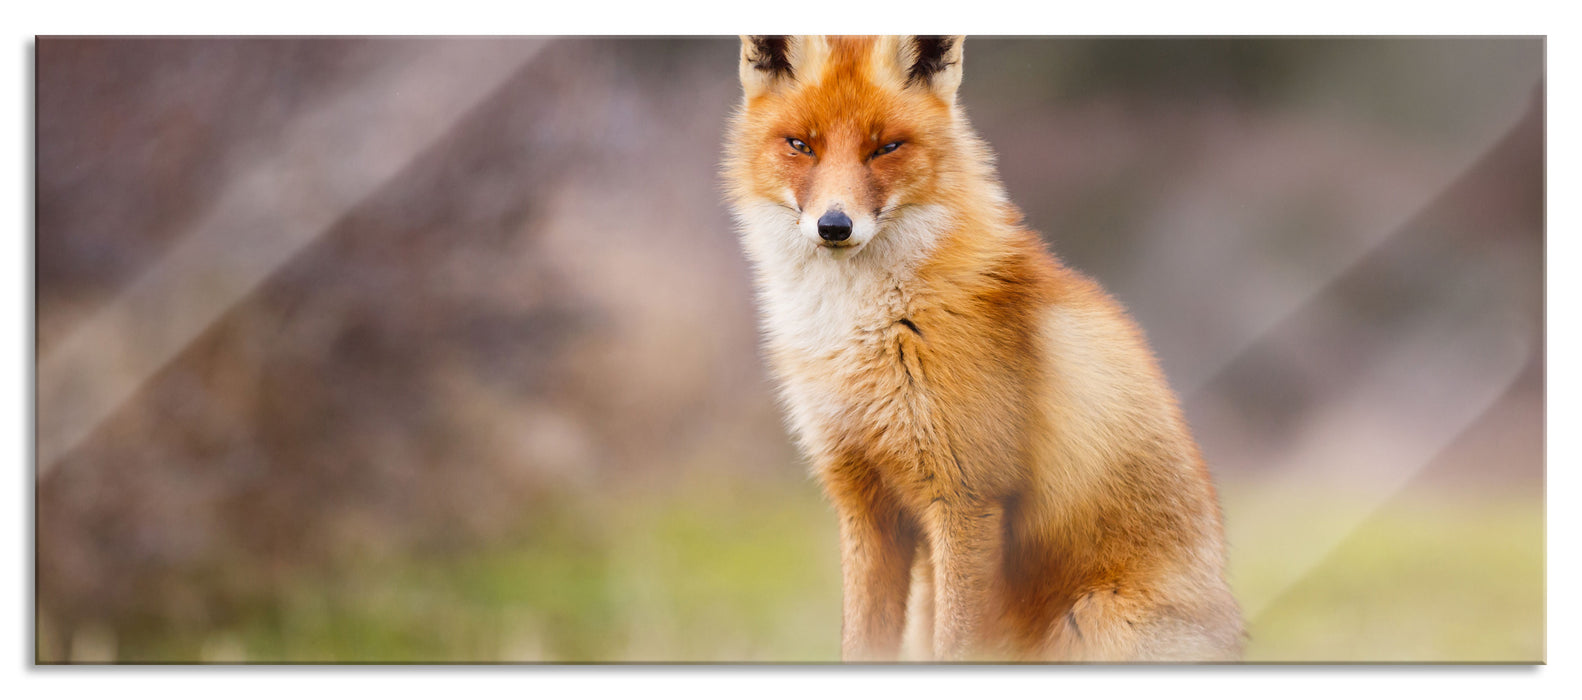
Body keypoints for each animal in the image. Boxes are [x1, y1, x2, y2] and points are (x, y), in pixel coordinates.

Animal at [723, 35, 1244, 662]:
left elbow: (956, 646)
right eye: (801, 145)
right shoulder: (864, 502)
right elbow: (861, 642)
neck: (865, 332)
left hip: (1094, 621)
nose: (834, 225)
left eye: (886, 148)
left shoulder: (968, 498)